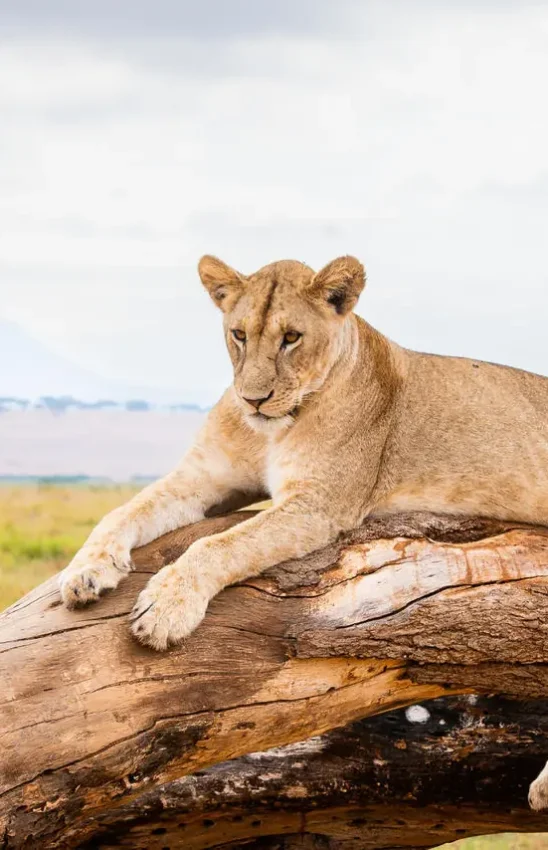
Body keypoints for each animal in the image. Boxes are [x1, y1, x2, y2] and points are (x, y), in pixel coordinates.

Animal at [59, 254, 548, 653]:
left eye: (291, 337)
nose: (253, 400)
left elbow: (218, 543)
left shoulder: (318, 503)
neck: (269, 431)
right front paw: (84, 572)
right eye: (239, 334)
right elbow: (123, 512)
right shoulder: (202, 477)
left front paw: (165, 608)